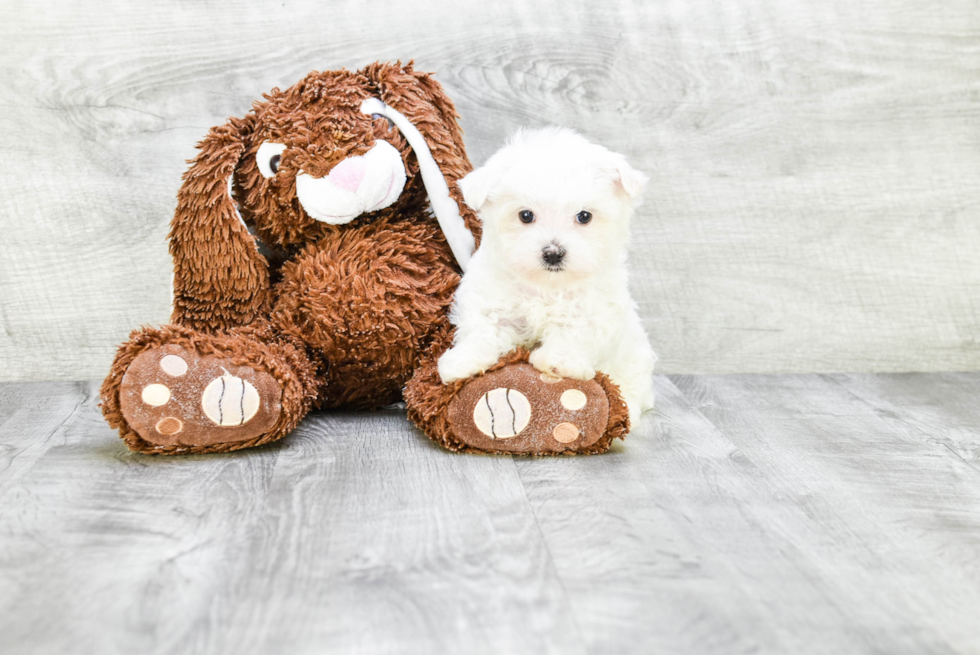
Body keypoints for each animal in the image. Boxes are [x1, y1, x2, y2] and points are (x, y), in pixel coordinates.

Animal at [438, 126, 660, 428]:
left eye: (584, 216)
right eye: (526, 215)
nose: (553, 253)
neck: (545, 287)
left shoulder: (597, 309)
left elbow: (575, 331)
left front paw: (558, 360)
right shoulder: (491, 301)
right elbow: (483, 330)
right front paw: (463, 361)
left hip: (634, 361)